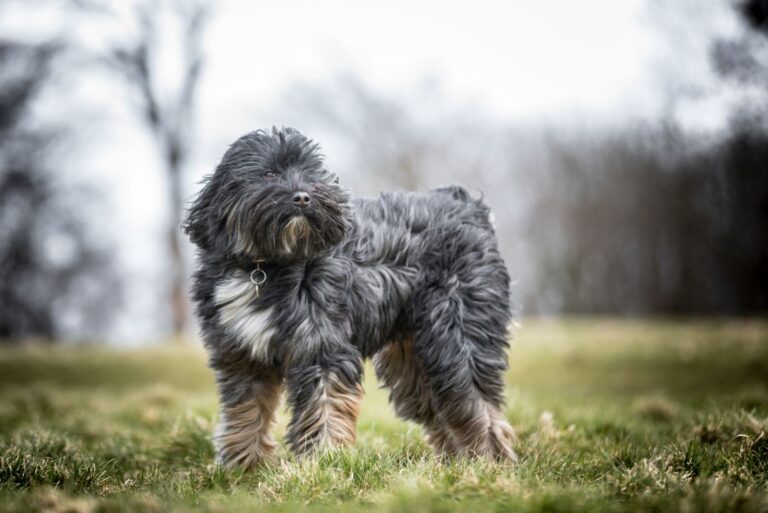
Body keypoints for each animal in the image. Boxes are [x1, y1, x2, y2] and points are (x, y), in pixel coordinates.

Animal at [184, 126, 516, 466]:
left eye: (310, 172)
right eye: (269, 173)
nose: (303, 197)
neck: (265, 265)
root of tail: (468, 205)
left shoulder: (322, 346)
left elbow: (325, 404)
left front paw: (324, 459)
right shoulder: (241, 356)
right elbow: (246, 411)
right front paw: (241, 464)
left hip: (457, 332)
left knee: (474, 398)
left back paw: (486, 459)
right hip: (413, 358)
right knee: (442, 404)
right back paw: (457, 462)